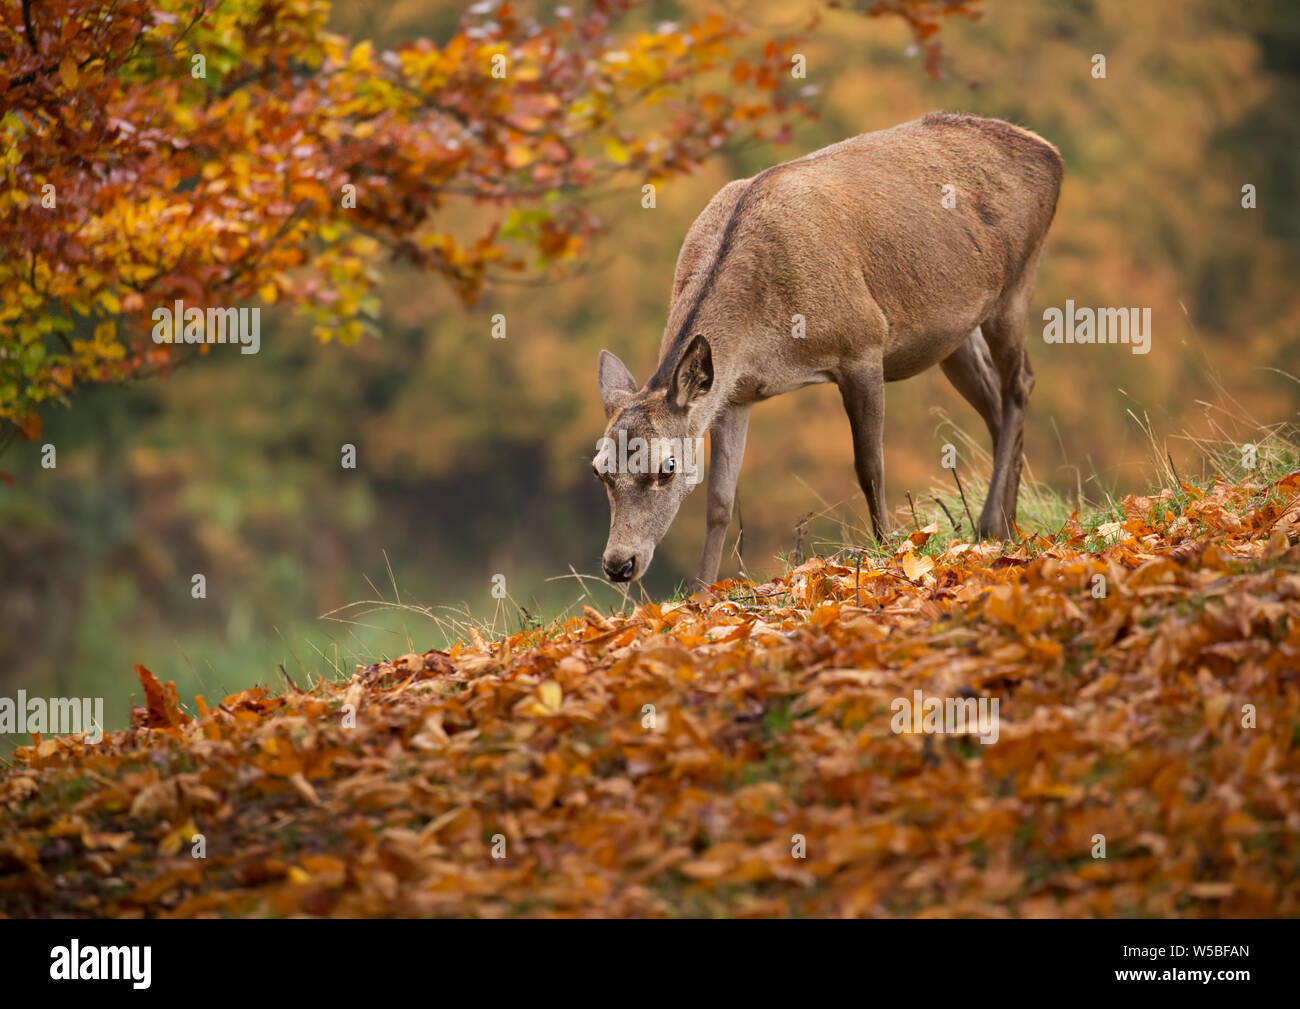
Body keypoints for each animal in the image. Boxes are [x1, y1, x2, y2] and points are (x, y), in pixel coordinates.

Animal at [595, 111, 1060, 587]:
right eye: (599, 470)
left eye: (666, 467)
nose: (619, 564)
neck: (765, 337)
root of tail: (1049, 150)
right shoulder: (734, 394)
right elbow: (720, 502)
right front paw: (702, 589)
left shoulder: (863, 344)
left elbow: (870, 466)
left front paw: (887, 551)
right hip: (955, 333)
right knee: (995, 405)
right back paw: (1007, 524)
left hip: (1017, 282)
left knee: (1020, 383)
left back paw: (990, 523)